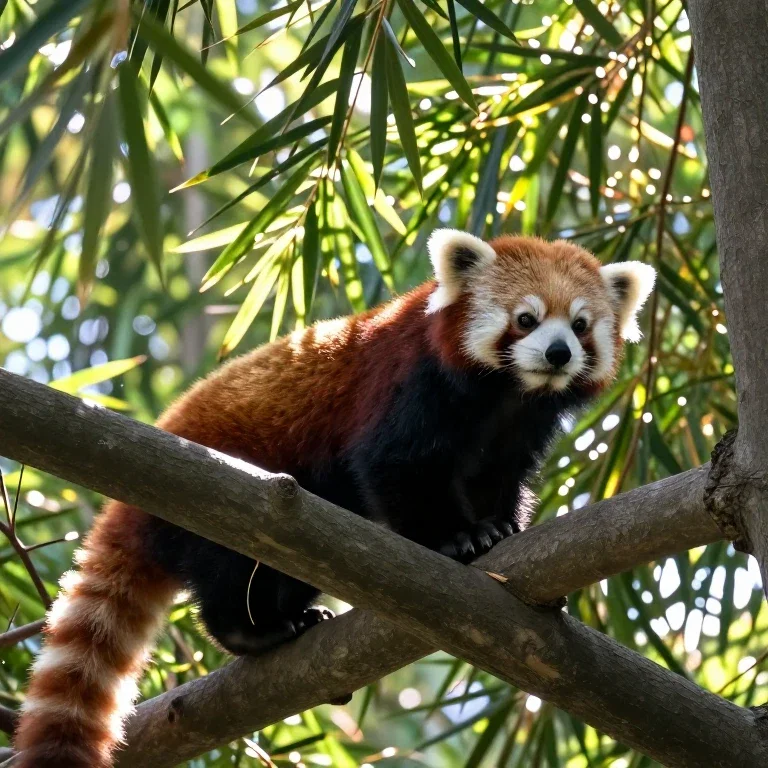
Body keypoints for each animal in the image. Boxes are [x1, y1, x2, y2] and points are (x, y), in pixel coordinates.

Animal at [14, 230, 655, 768]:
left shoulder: (515, 432)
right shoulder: (409, 384)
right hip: (208, 494)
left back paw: (291, 616)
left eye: (580, 325)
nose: (558, 354)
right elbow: (396, 467)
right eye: (526, 318)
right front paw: (456, 540)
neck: (505, 395)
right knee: (227, 570)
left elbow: (496, 482)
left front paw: (500, 530)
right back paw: (250, 631)